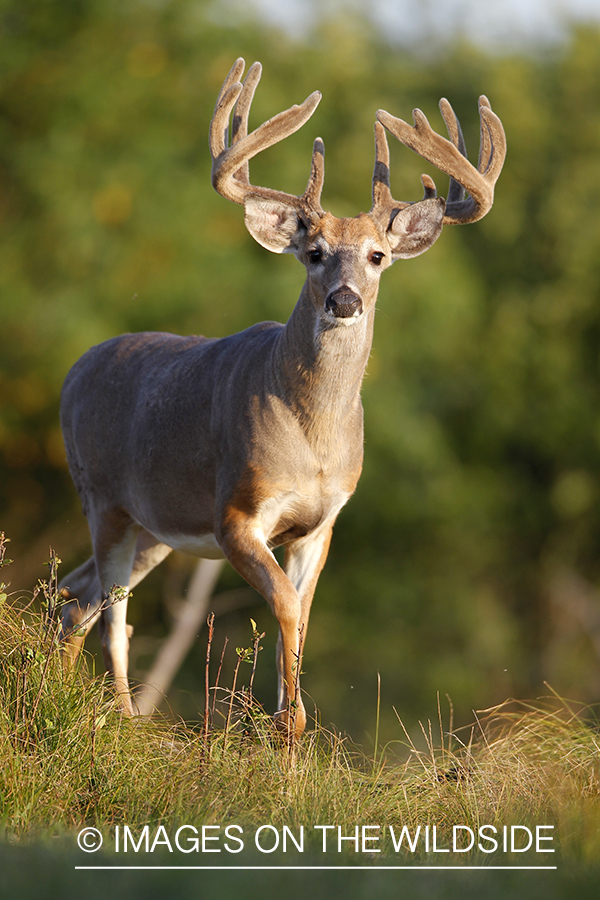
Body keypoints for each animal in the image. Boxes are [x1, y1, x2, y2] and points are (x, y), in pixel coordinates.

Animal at [57, 58, 506, 740]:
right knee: (109, 613)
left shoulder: (323, 522)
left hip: (154, 527)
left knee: (76, 598)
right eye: (314, 253)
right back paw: (123, 719)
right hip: (103, 497)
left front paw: (289, 734)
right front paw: (287, 726)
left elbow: (300, 619)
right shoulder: (237, 512)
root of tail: (74, 371)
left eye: (378, 256)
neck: (312, 438)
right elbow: (288, 608)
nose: (344, 299)